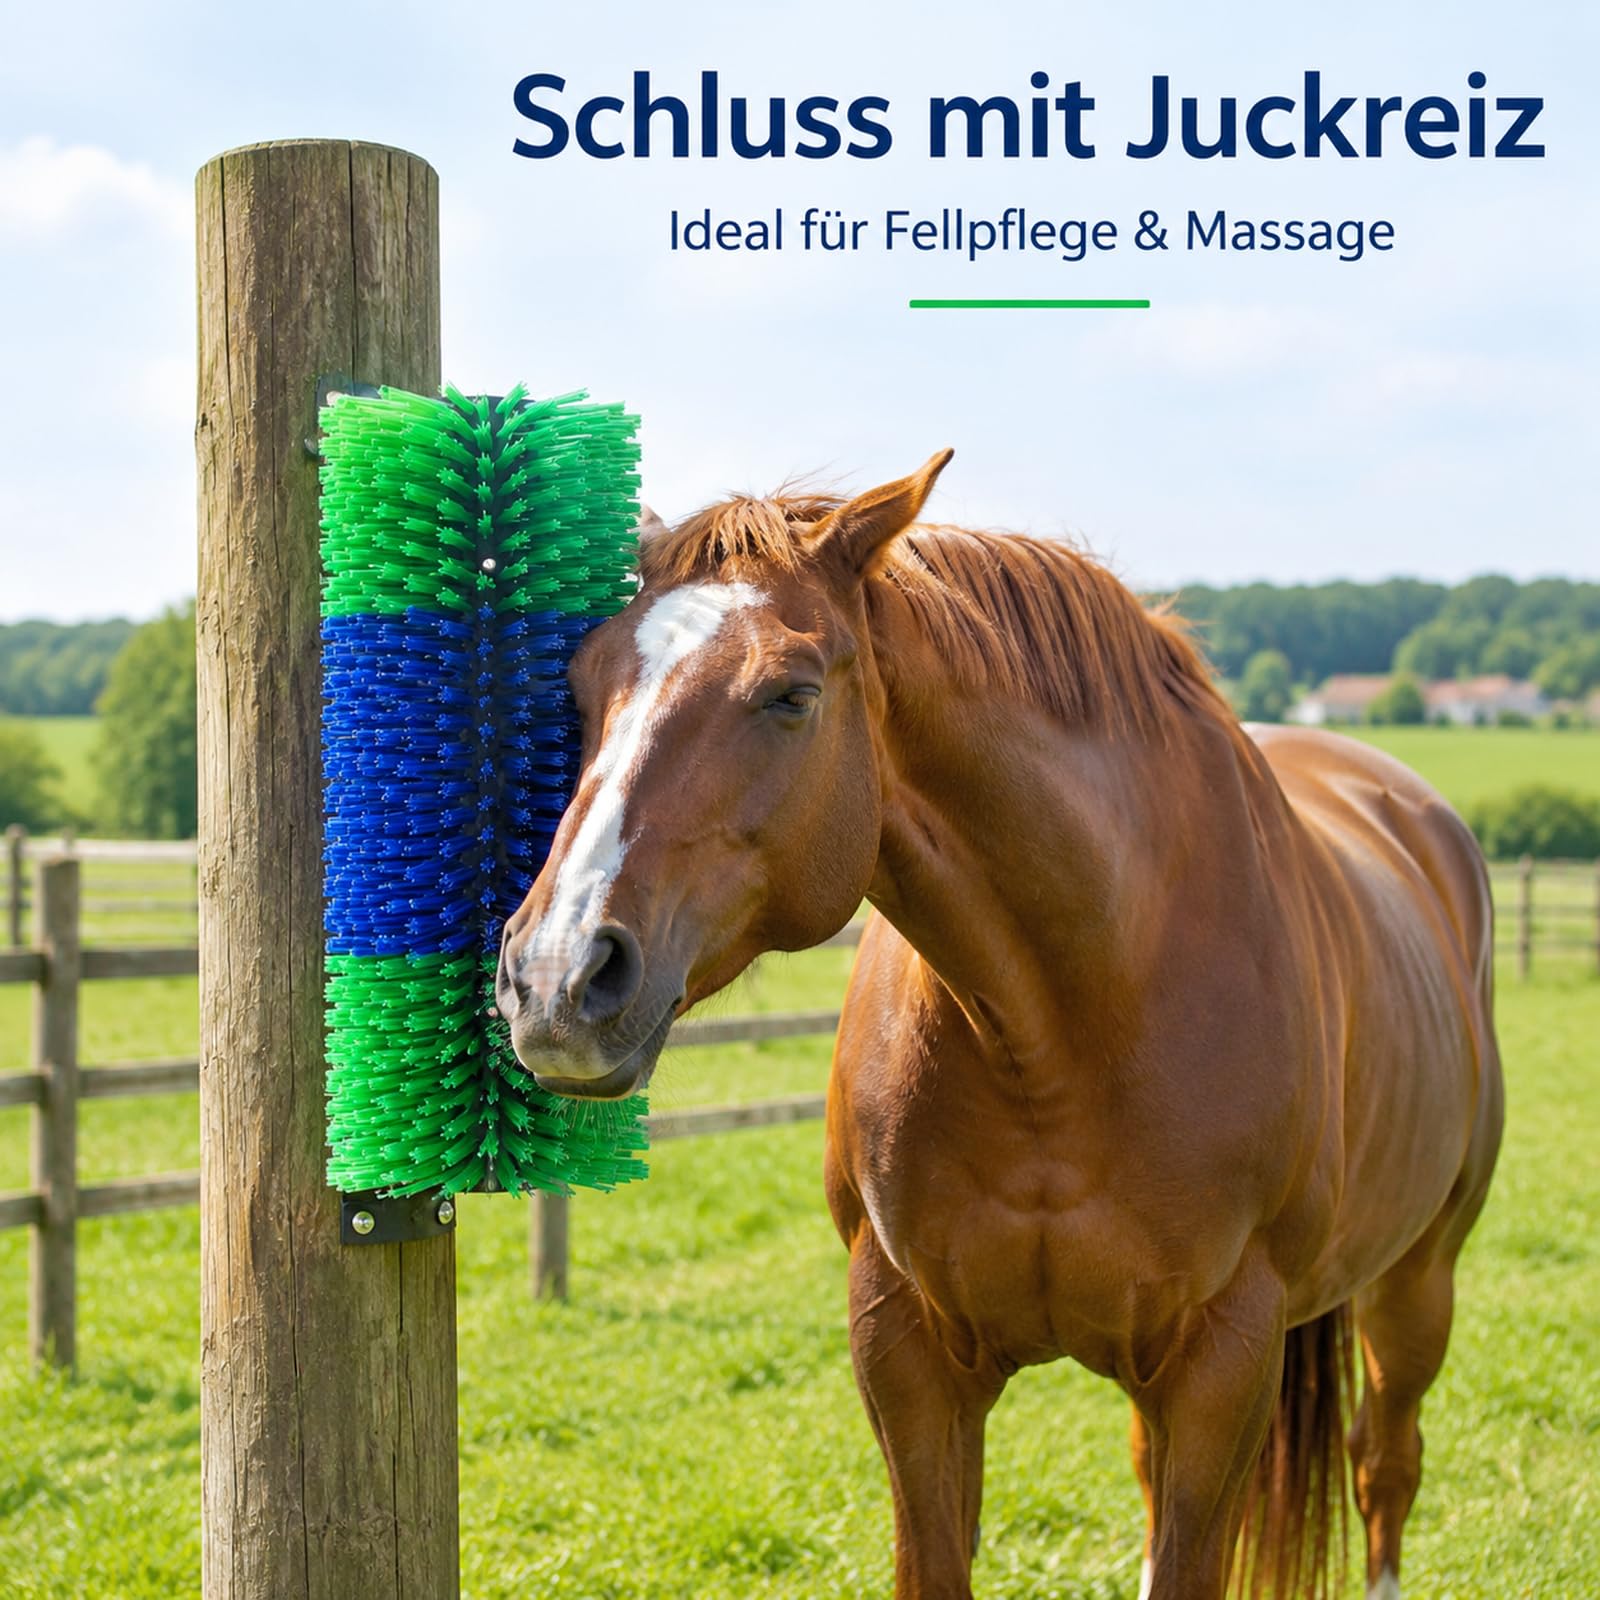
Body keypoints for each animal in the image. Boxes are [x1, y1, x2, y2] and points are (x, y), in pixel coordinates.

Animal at [495, 452, 1504, 1600]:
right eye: (583, 685)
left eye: (791, 695)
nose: (556, 977)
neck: (1062, 1027)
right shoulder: (909, 1351)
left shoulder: (1223, 1359)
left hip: (1417, 1283)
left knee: (1386, 1466)